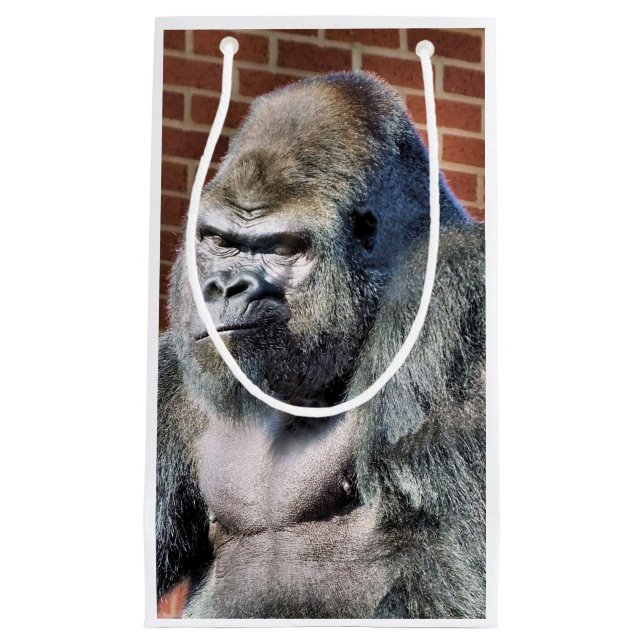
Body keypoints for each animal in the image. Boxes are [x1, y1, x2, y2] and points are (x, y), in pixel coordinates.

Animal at [156, 70, 486, 619]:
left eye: (282, 249)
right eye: (219, 241)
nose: (225, 287)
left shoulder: (453, 299)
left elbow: (457, 582)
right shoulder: (169, 378)